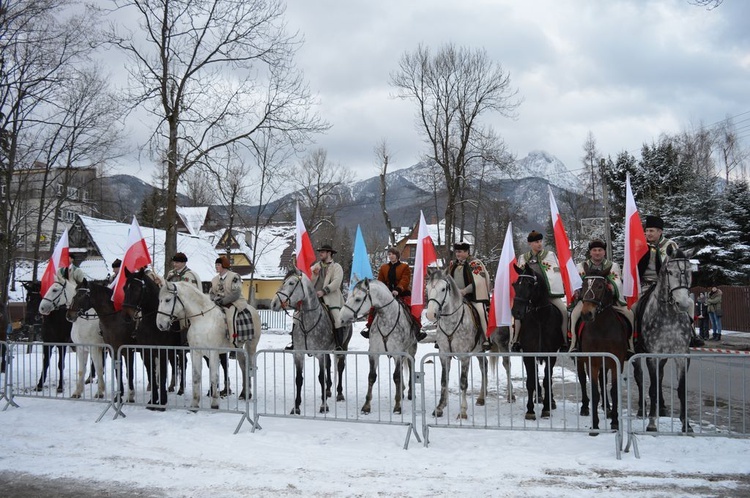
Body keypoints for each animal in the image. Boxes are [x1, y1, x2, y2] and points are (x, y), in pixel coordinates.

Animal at [155, 282, 262, 410]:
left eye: (167, 299)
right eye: (159, 300)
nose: (160, 324)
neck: (202, 319)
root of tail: (253, 310)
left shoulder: (213, 353)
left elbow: (214, 376)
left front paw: (215, 403)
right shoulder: (195, 352)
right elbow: (196, 376)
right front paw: (194, 404)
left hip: (251, 346)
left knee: (250, 367)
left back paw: (248, 394)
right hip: (238, 348)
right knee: (243, 366)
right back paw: (243, 394)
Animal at [342, 278, 420, 414]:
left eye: (357, 299)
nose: (341, 317)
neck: (387, 320)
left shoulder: (399, 353)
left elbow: (396, 377)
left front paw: (397, 406)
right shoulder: (374, 353)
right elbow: (372, 377)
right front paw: (366, 406)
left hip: (411, 350)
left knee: (411, 366)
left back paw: (410, 393)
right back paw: (402, 391)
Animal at [426, 270, 490, 418]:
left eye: (443, 289)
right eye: (427, 288)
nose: (430, 314)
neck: (452, 323)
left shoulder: (465, 356)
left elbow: (463, 383)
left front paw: (463, 411)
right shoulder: (444, 355)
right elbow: (444, 380)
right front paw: (440, 407)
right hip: (479, 351)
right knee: (484, 367)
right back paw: (481, 398)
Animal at [512, 262, 564, 422]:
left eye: (529, 285)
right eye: (514, 285)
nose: (516, 312)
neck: (540, 317)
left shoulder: (551, 355)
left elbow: (547, 379)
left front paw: (546, 408)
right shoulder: (529, 354)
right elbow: (530, 381)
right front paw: (530, 410)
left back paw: (550, 401)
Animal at [580, 266, 632, 434]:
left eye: (600, 286)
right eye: (583, 286)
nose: (586, 314)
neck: (602, 329)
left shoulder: (616, 362)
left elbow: (614, 391)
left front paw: (615, 421)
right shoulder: (593, 362)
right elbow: (595, 392)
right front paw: (594, 425)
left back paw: (608, 409)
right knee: (582, 379)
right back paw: (585, 407)